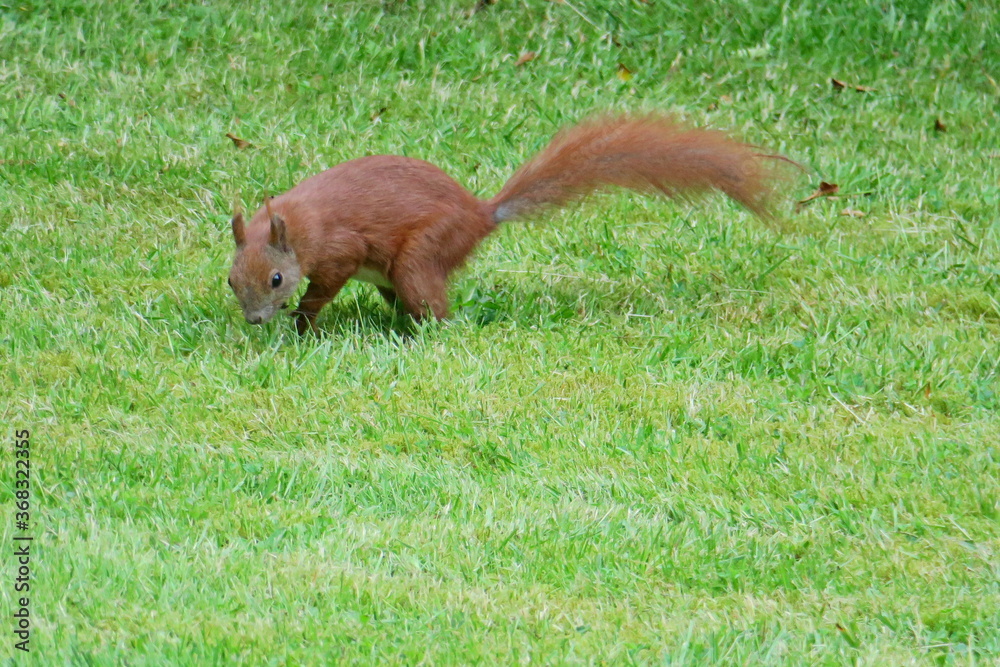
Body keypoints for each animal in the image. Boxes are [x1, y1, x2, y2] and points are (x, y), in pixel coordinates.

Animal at [227, 113, 788, 333]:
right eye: (231, 280)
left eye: (276, 278)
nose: (254, 320)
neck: (298, 228)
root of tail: (480, 214)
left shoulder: (340, 247)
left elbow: (325, 286)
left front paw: (303, 322)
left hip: (421, 253)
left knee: (434, 307)